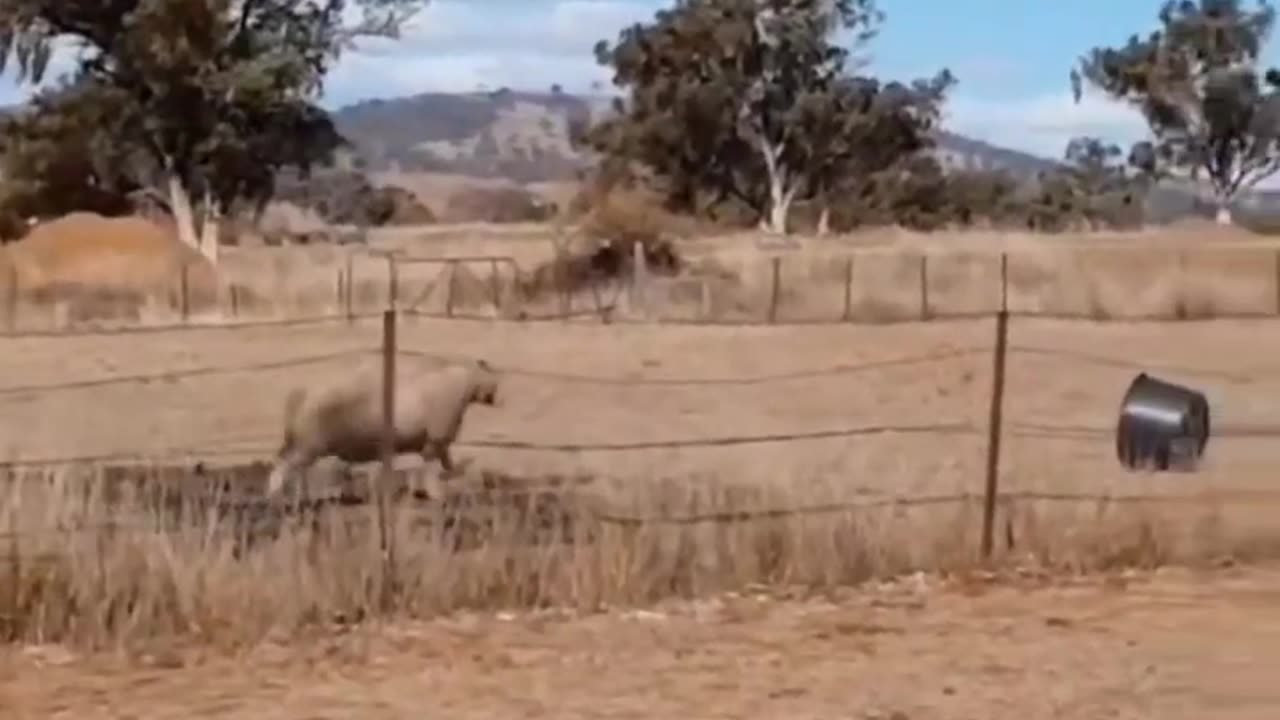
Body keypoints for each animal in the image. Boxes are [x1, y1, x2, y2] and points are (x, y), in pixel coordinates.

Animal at [264, 356, 499, 497]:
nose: (495, 397)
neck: (464, 385)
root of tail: (301, 393)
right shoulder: (436, 439)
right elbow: (431, 471)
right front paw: (436, 494)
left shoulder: (437, 444)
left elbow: (446, 467)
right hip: (310, 445)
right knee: (283, 468)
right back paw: (276, 498)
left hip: (302, 444)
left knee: (291, 468)